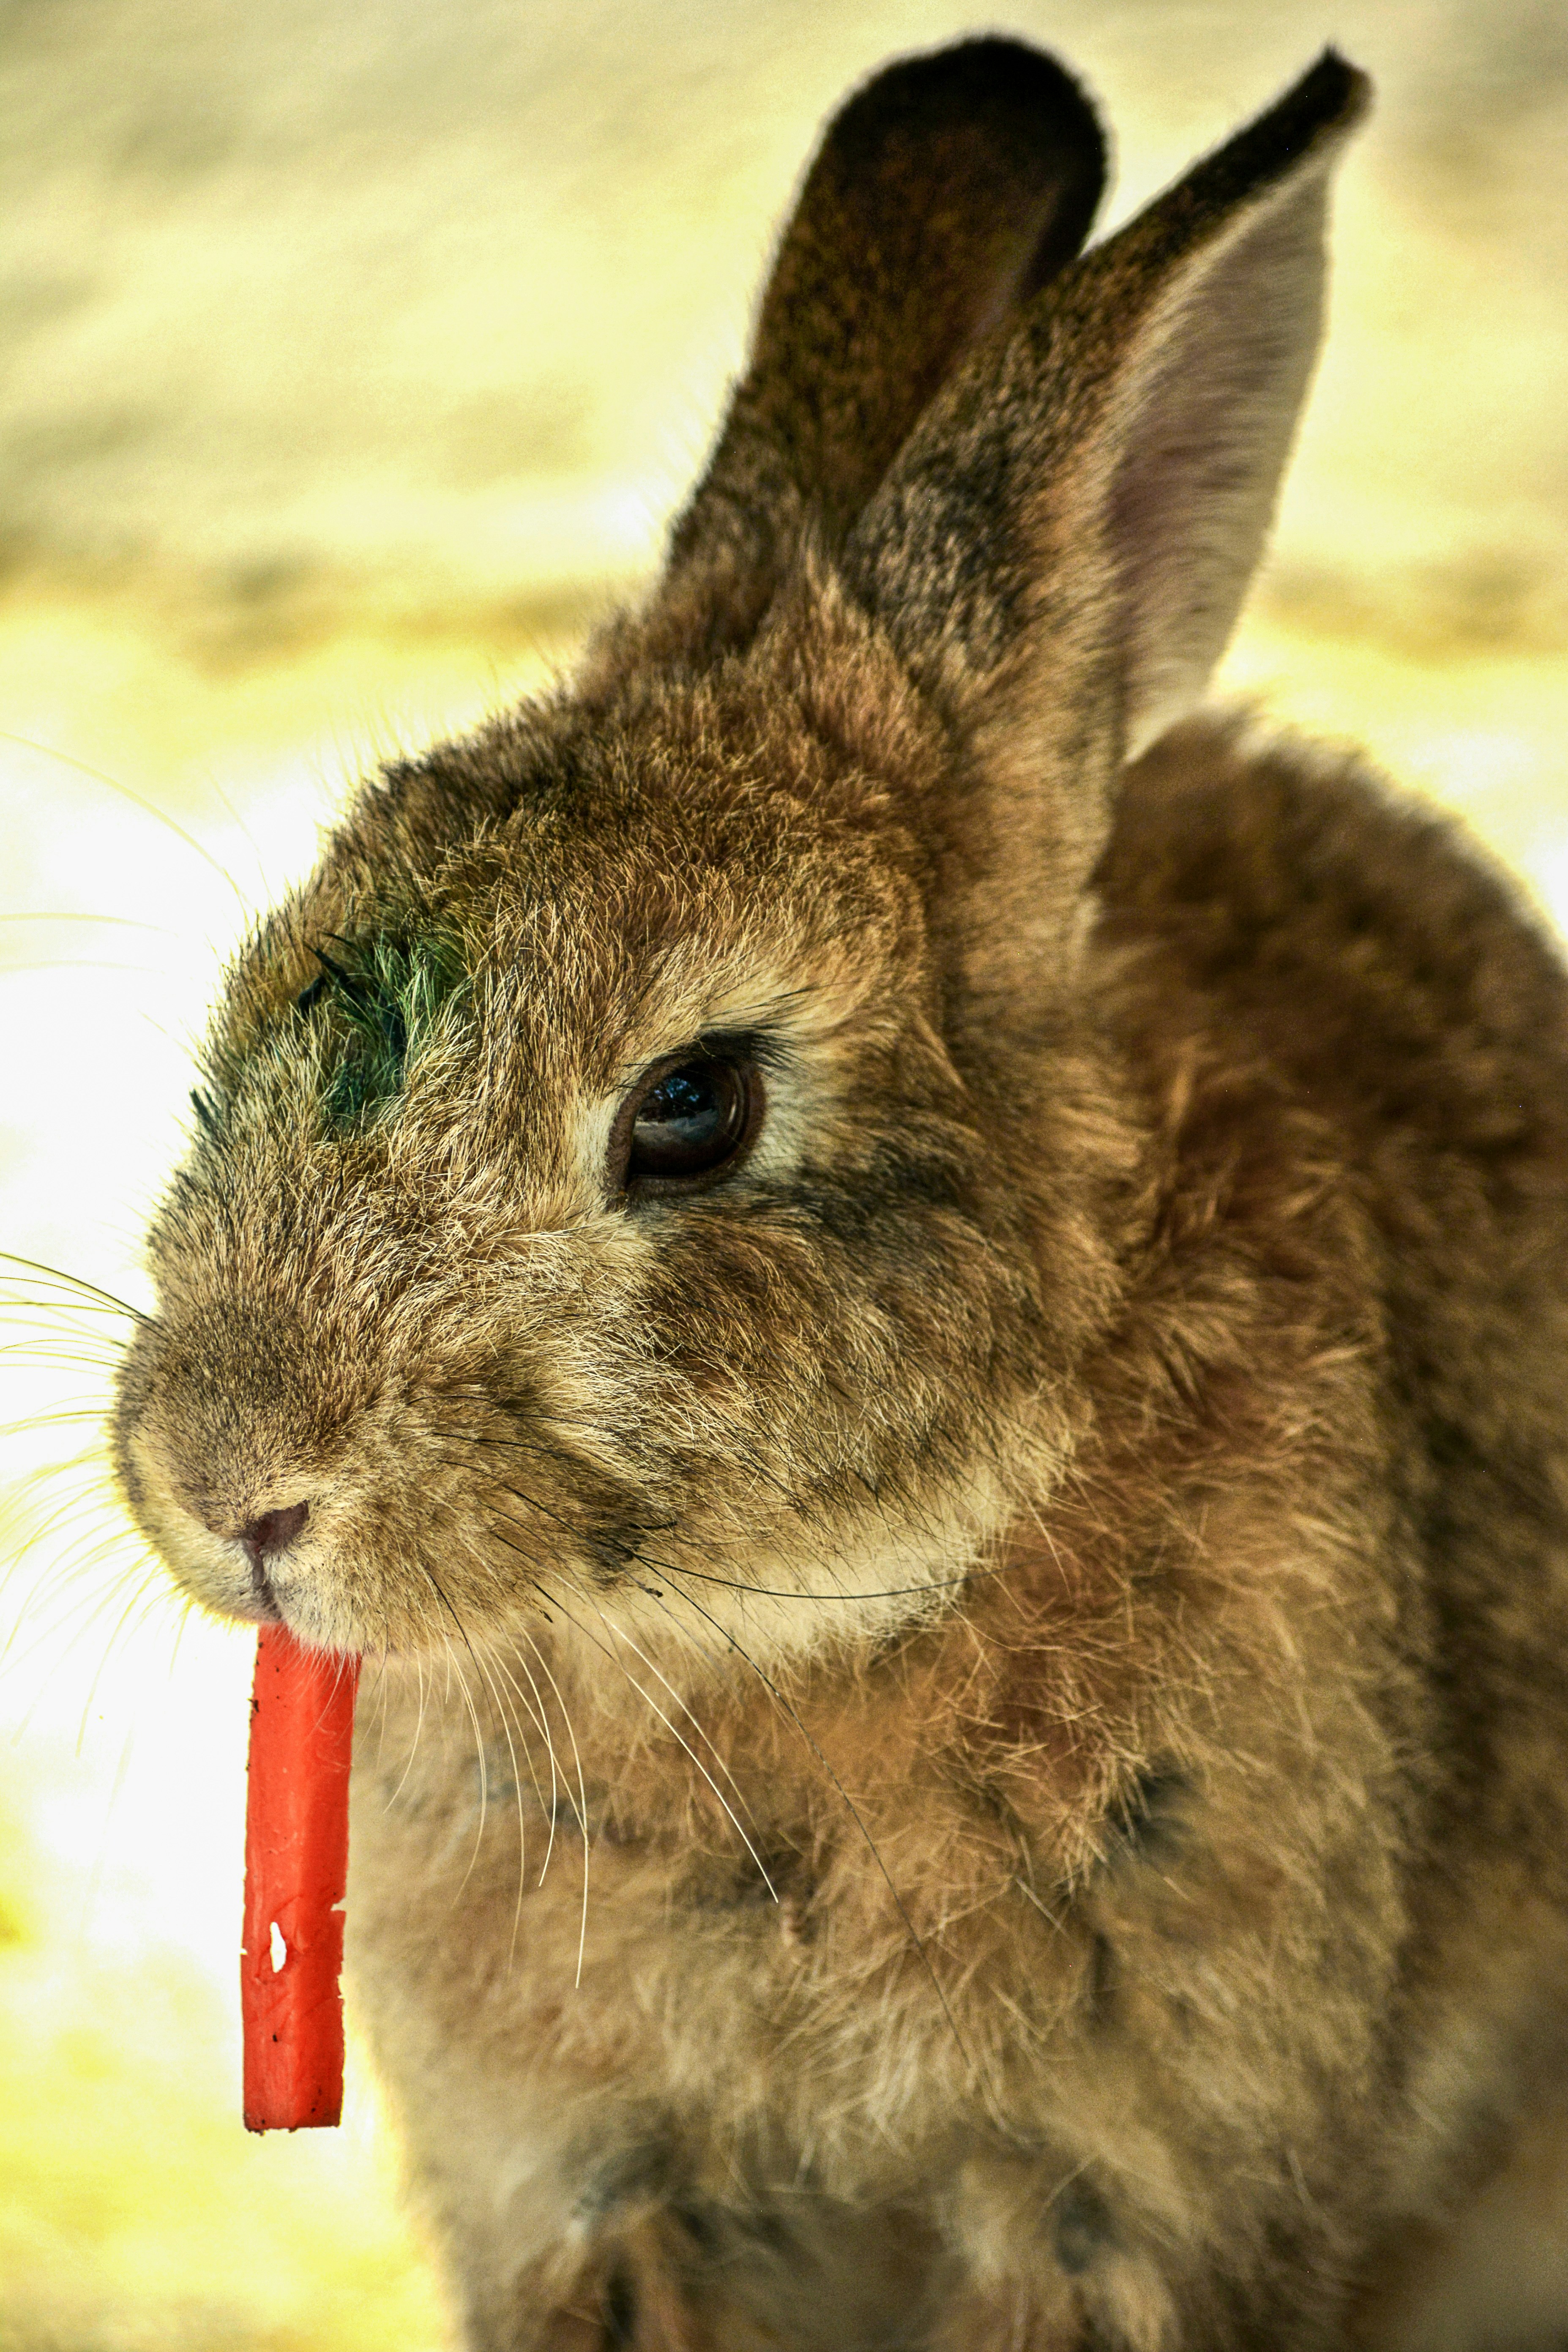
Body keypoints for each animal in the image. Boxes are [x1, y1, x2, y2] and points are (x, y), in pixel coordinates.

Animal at [107, 32, 1568, 2352]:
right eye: (250, 1000)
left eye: (695, 1109)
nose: (222, 1482)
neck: (774, 1638)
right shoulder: (592, 2178)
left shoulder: (1123, 2191)